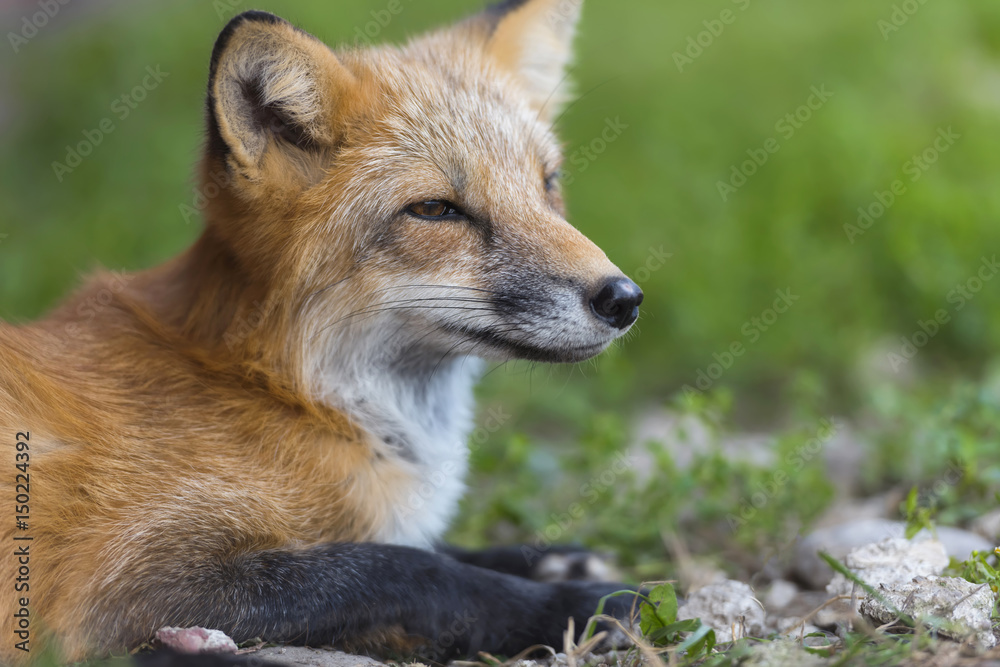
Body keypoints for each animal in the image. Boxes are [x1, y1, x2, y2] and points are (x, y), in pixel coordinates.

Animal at [0, 0, 640, 664]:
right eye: (434, 210)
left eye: (548, 183)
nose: (623, 298)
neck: (288, 391)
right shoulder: (115, 588)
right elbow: (406, 570)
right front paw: (575, 605)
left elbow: (422, 546)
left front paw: (549, 560)